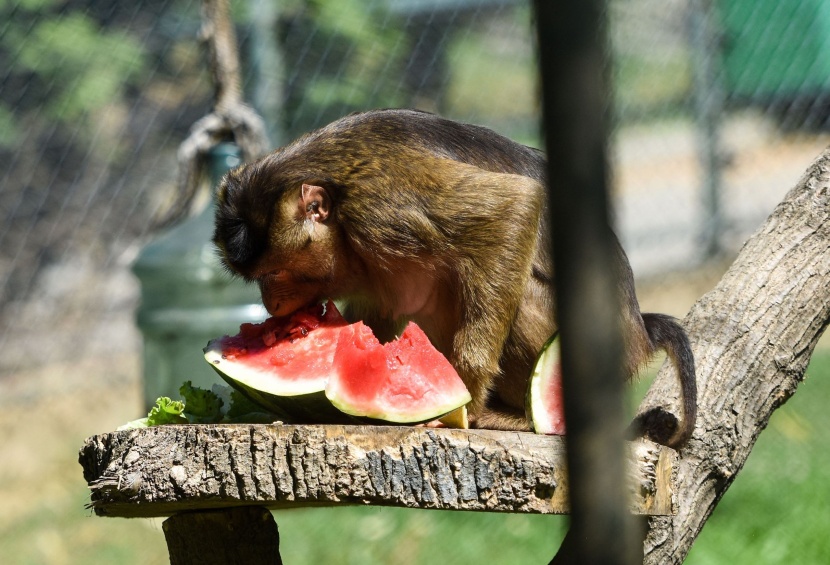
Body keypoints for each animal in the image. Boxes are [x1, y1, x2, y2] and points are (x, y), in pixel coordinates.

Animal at [211, 108, 700, 448]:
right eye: (259, 279)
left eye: (273, 273)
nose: (271, 304)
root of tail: (636, 329)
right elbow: (378, 309)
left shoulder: (382, 201)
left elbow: (513, 206)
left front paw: (465, 390)